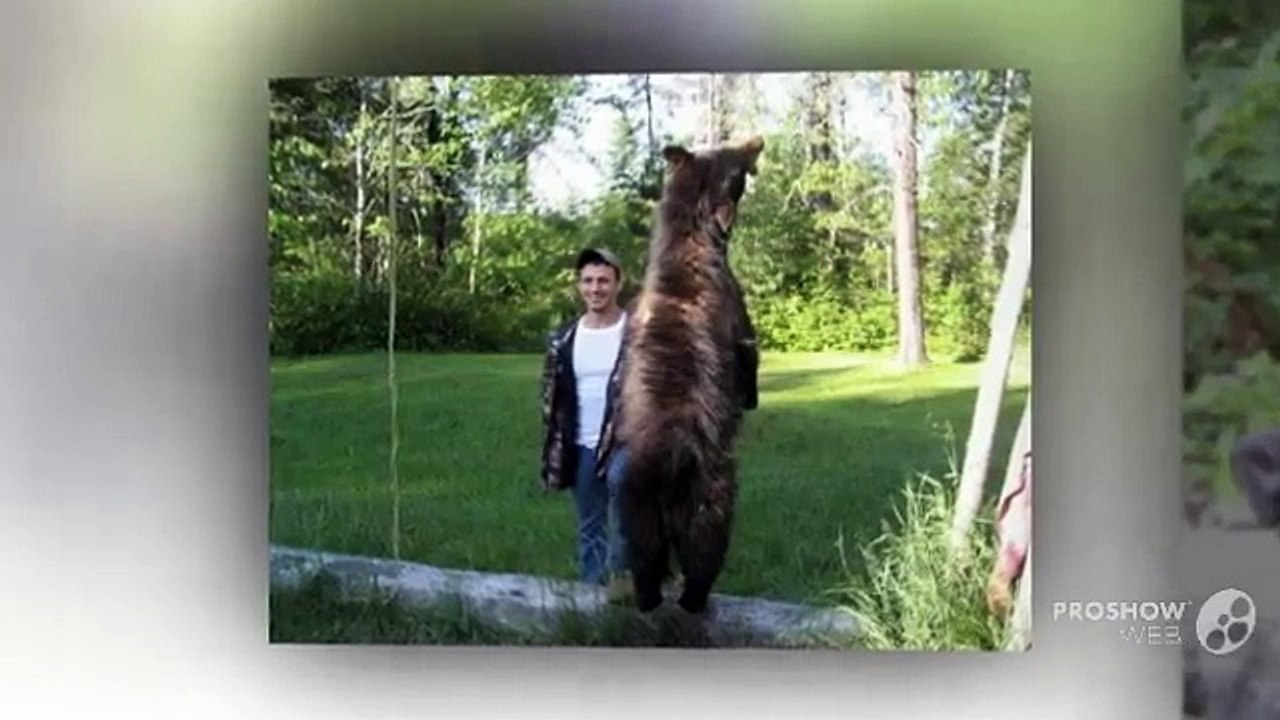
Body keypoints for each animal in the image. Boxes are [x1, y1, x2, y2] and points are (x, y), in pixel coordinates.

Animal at [615, 135, 764, 615]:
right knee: (705, 549)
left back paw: (646, 598)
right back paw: (694, 599)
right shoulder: (736, 311)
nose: (758, 139)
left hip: (636, 502)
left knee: (644, 554)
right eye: (736, 161)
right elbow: (749, 354)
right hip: (709, 494)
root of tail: (671, 459)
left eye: (721, 144)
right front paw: (752, 394)